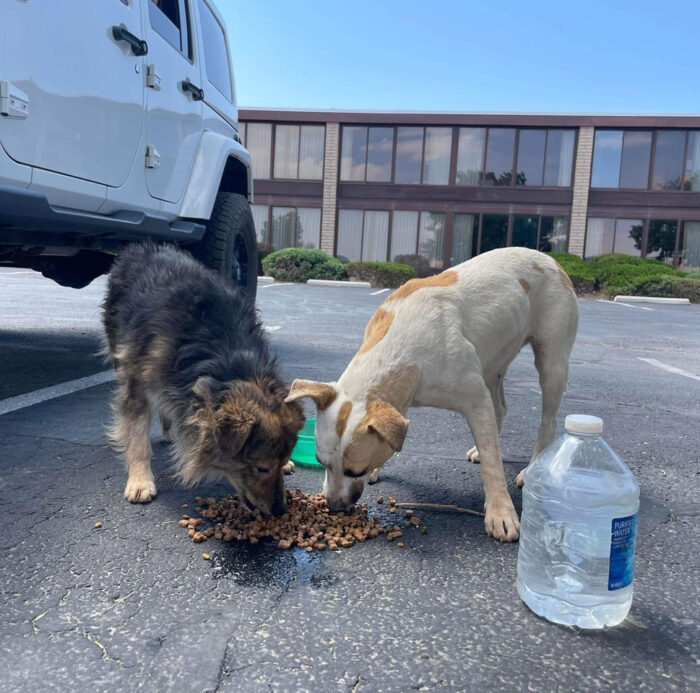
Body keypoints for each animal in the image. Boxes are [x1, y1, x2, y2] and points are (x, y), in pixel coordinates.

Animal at [102, 243, 304, 512]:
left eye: (281, 461)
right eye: (262, 468)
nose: (281, 510)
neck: (228, 358)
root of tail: (142, 247)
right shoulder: (136, 381)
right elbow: (137, 436)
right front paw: (140, 480)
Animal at [284, 247, 580, 540]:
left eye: (355, 470)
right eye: (322, 462)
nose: (333, 506)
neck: (400, 348)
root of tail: (549, 258)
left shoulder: (474, 398)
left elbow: (492, 464)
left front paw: (501, 513)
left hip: (551, 361)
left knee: (547, 423)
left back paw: (530, 469)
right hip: (493, 360)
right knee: (499, 408)